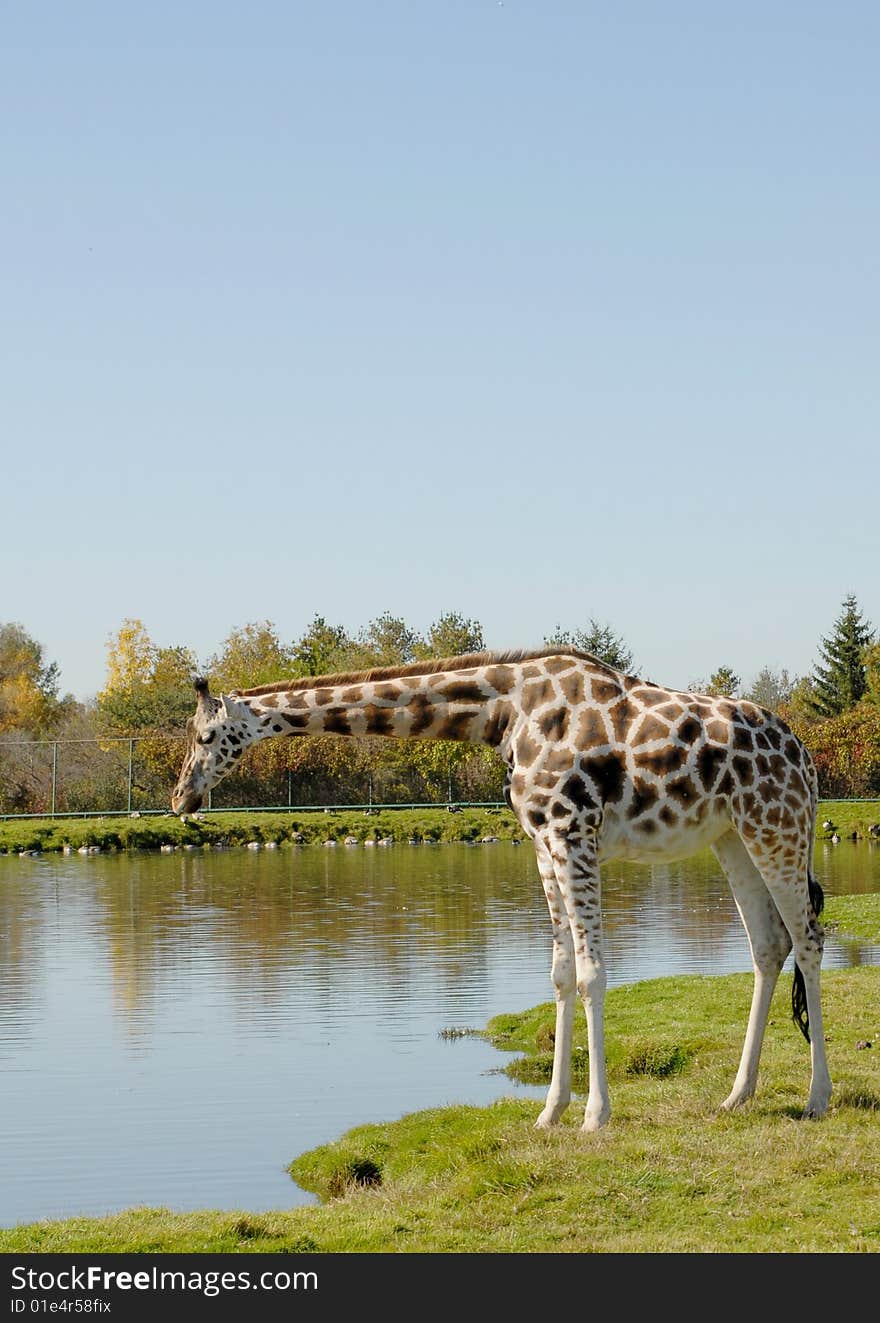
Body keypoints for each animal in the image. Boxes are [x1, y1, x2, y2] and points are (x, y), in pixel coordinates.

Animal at [172, 645, 831, 1132]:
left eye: (205, 737)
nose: (181, 798)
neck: (504, 714)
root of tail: (802, 753)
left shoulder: (573, 831)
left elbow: (592, 974)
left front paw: (595, 1116)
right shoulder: (541, 841)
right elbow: (561, 975)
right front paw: (550, 1112)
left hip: (780, 825)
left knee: (809, 941)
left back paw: (818, 1096)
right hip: (732, 836)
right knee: (768, 945)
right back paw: (737, 1096)